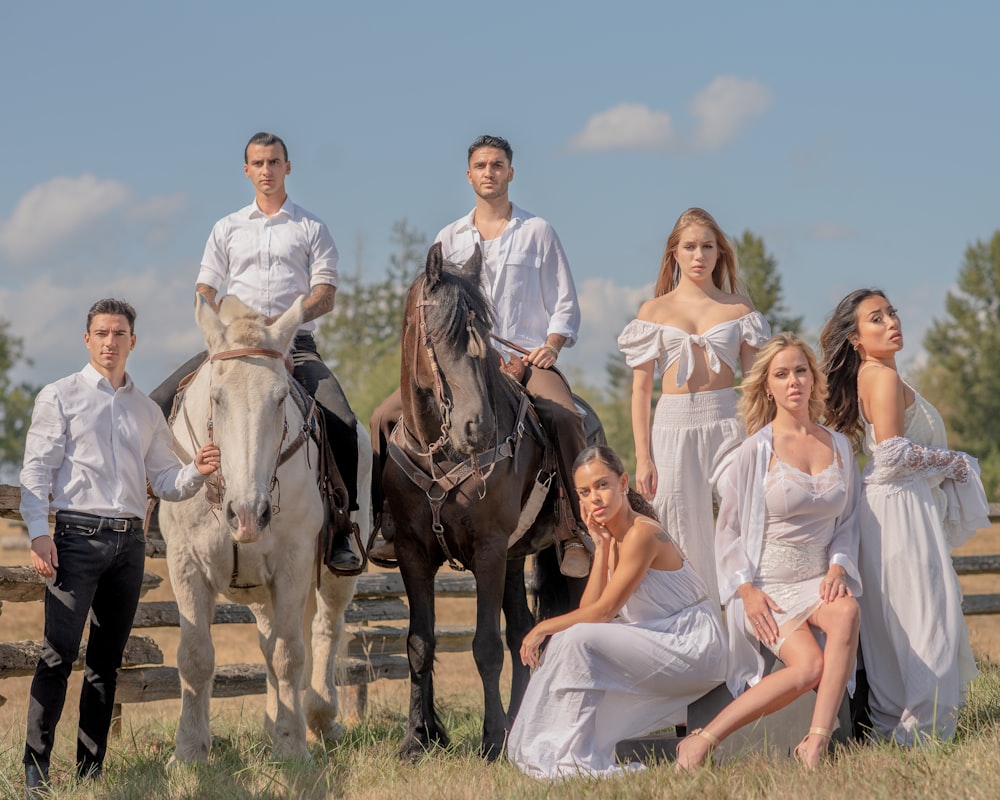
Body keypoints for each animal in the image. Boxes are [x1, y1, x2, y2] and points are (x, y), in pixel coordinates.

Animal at [160, 296, 368, 764]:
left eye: (279, 399)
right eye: (216, 398)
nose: (248, 514)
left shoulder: (293, 564)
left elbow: (290, 655)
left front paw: (291, 747)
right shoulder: (185, 563)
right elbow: (195, 657)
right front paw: (189, 750)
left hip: (335, 575)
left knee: (324, 630)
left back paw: (319, 717)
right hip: (259, 590)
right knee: (269, 643)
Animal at [380, 241, 584, 760]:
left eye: (483, 336)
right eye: (437, 336)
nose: (479, 427)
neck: (441, 453)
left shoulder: (488, 551)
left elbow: (486, 646)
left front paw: (491, 741)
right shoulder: (413, 553)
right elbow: (420, 643)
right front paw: (418, 737)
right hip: (514, 558)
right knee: (523, 632)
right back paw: (518, 724)